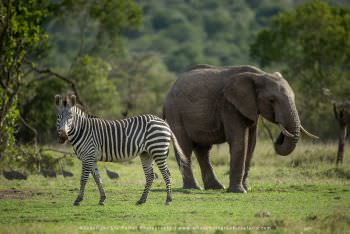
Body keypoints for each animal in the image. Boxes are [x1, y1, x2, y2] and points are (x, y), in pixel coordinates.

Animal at [54, 94, 187, 206]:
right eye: (58, 116)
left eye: (71, 117)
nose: (62, 136)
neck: (82, 130)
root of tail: (164, 122)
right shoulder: (92, 158)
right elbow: (98, 179)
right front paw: (102, 199)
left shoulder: (88, 156)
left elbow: (83, 179)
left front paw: (78, 199)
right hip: (146, 154)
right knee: (150, 176)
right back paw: (142, 200)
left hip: (158, 150)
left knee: (166, 174)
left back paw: (168, 199)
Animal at [164, 63, 318, 192]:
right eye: (271, 100)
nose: (279, 136)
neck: (259, 75)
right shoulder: (229, 105)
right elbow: (239, 141)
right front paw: (239, 191)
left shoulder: (250, 107)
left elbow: (251, 144)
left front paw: (246, 188)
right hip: (175, 113)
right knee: (185, 147)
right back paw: (193, 188)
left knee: (203, 150)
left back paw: (216, 187)